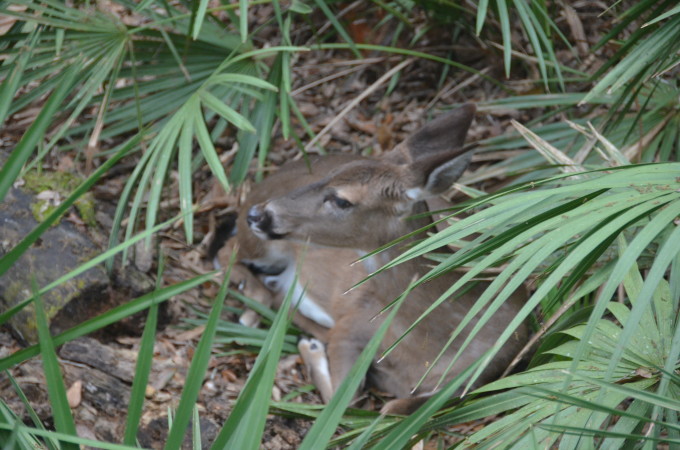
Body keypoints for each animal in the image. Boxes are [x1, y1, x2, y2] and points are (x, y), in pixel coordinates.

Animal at [244, 103, 532, 414]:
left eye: (342, 200)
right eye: (330, 173)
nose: (258, 214)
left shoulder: (476, 376)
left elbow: (384, 406)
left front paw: (310, 344)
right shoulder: (354, 322)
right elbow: (344, 400)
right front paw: (311, 346)